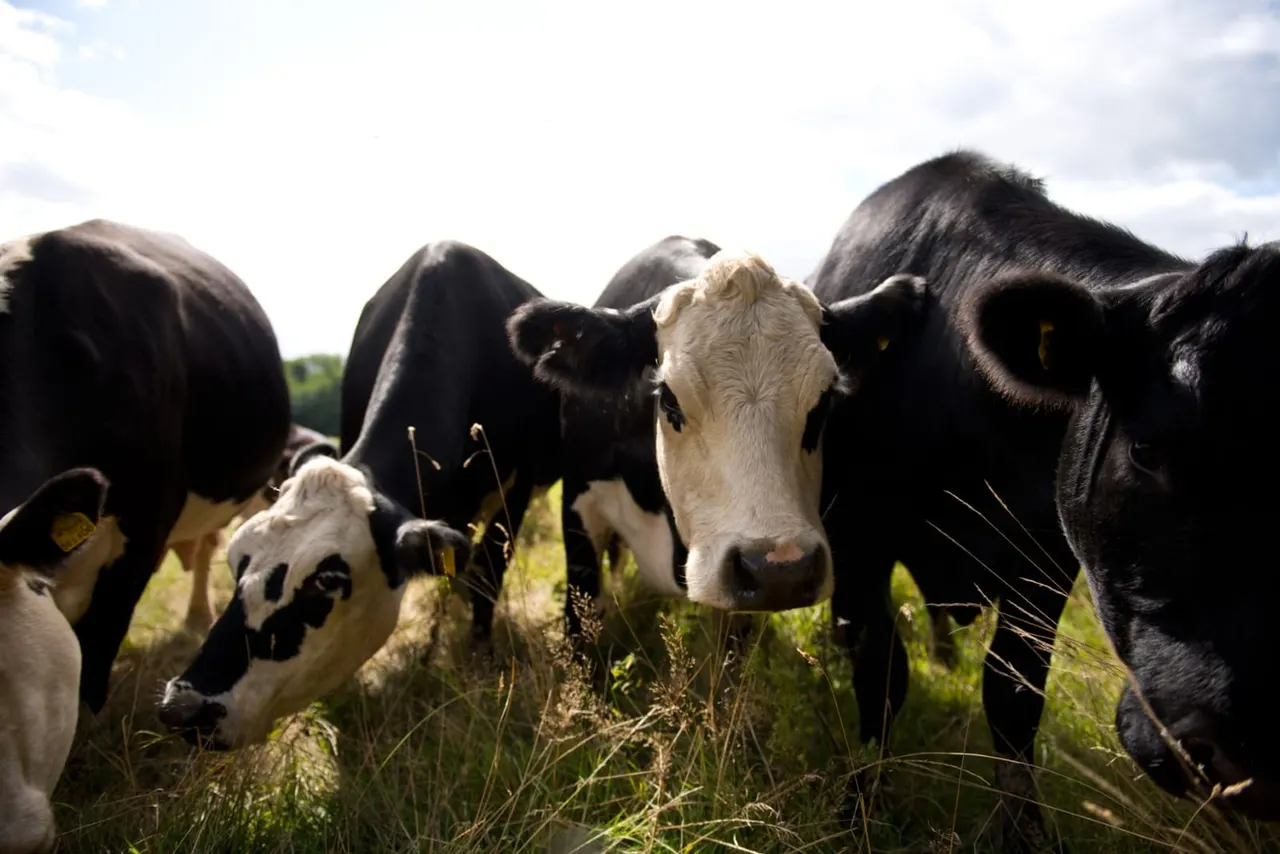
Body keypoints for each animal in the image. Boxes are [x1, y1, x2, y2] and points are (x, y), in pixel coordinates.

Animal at [806, 148, 1280, 848]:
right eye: (1146, 450)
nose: (1250, 763)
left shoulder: (1042, 560)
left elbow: (1013, 693)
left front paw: (1024, 830)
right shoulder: (862, 532)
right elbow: (882, 671)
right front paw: (861, 804)